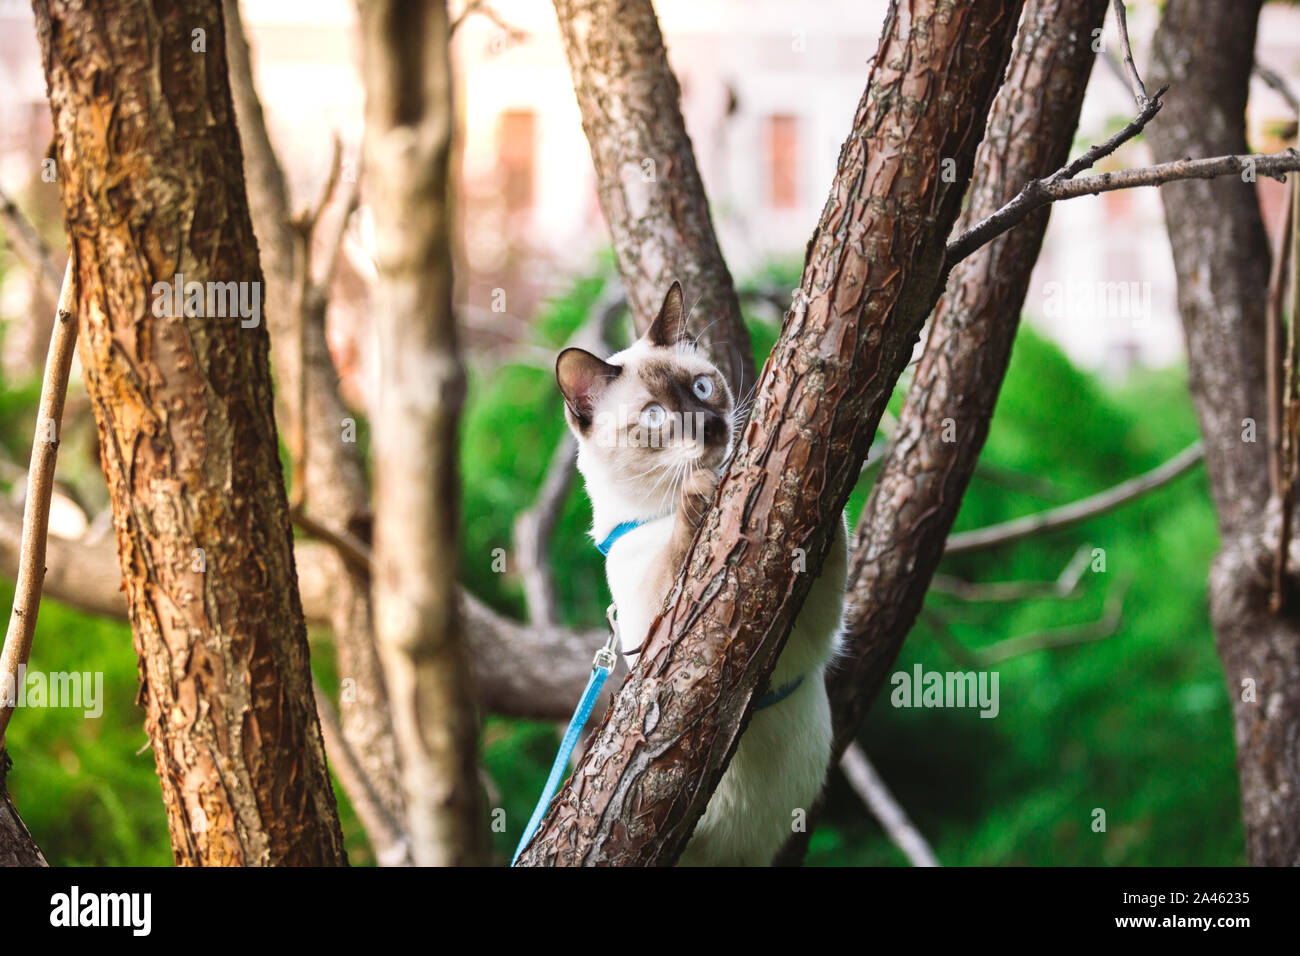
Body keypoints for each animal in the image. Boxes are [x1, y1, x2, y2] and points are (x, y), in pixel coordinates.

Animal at [556, 282, 842, 868]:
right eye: (655, 417)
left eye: (703, 387)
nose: (711, 427)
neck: (659, 512)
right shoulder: (648, 631)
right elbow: (677, 553)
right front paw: (700, 490)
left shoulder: (812, 637)